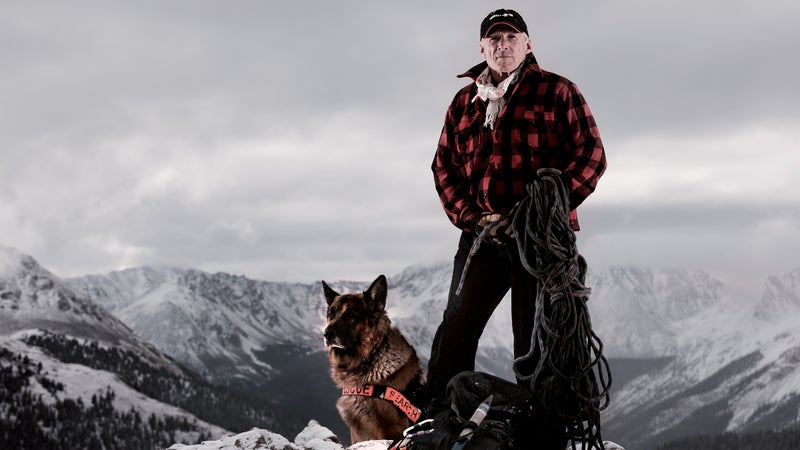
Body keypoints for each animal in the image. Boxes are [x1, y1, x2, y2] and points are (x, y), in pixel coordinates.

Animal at [324, 274, 428, 442]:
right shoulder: (356, 432)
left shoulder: (392, 430)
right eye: (331, 314)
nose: (326, 334)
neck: (371, 356)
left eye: (351, 315)